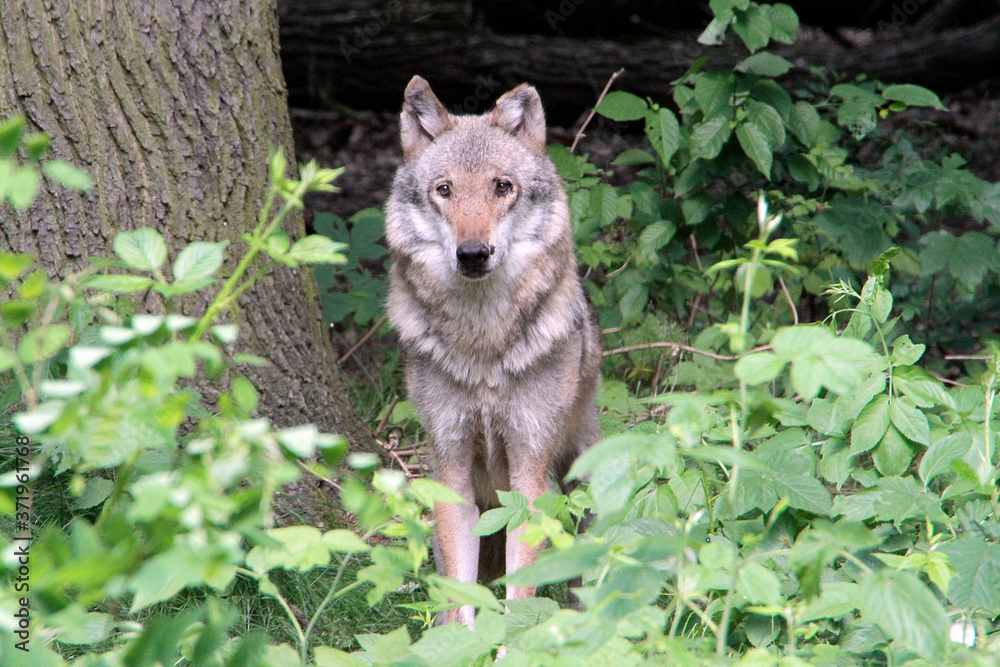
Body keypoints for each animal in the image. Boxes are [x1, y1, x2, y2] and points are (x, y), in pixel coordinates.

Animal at [385, 76, 602, 626]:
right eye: (444, 190)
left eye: (503, 187)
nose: (473, 253)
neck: (482, 343)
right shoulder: (452, 472)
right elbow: (463, 600)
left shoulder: (529, 476)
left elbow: (519, 594)